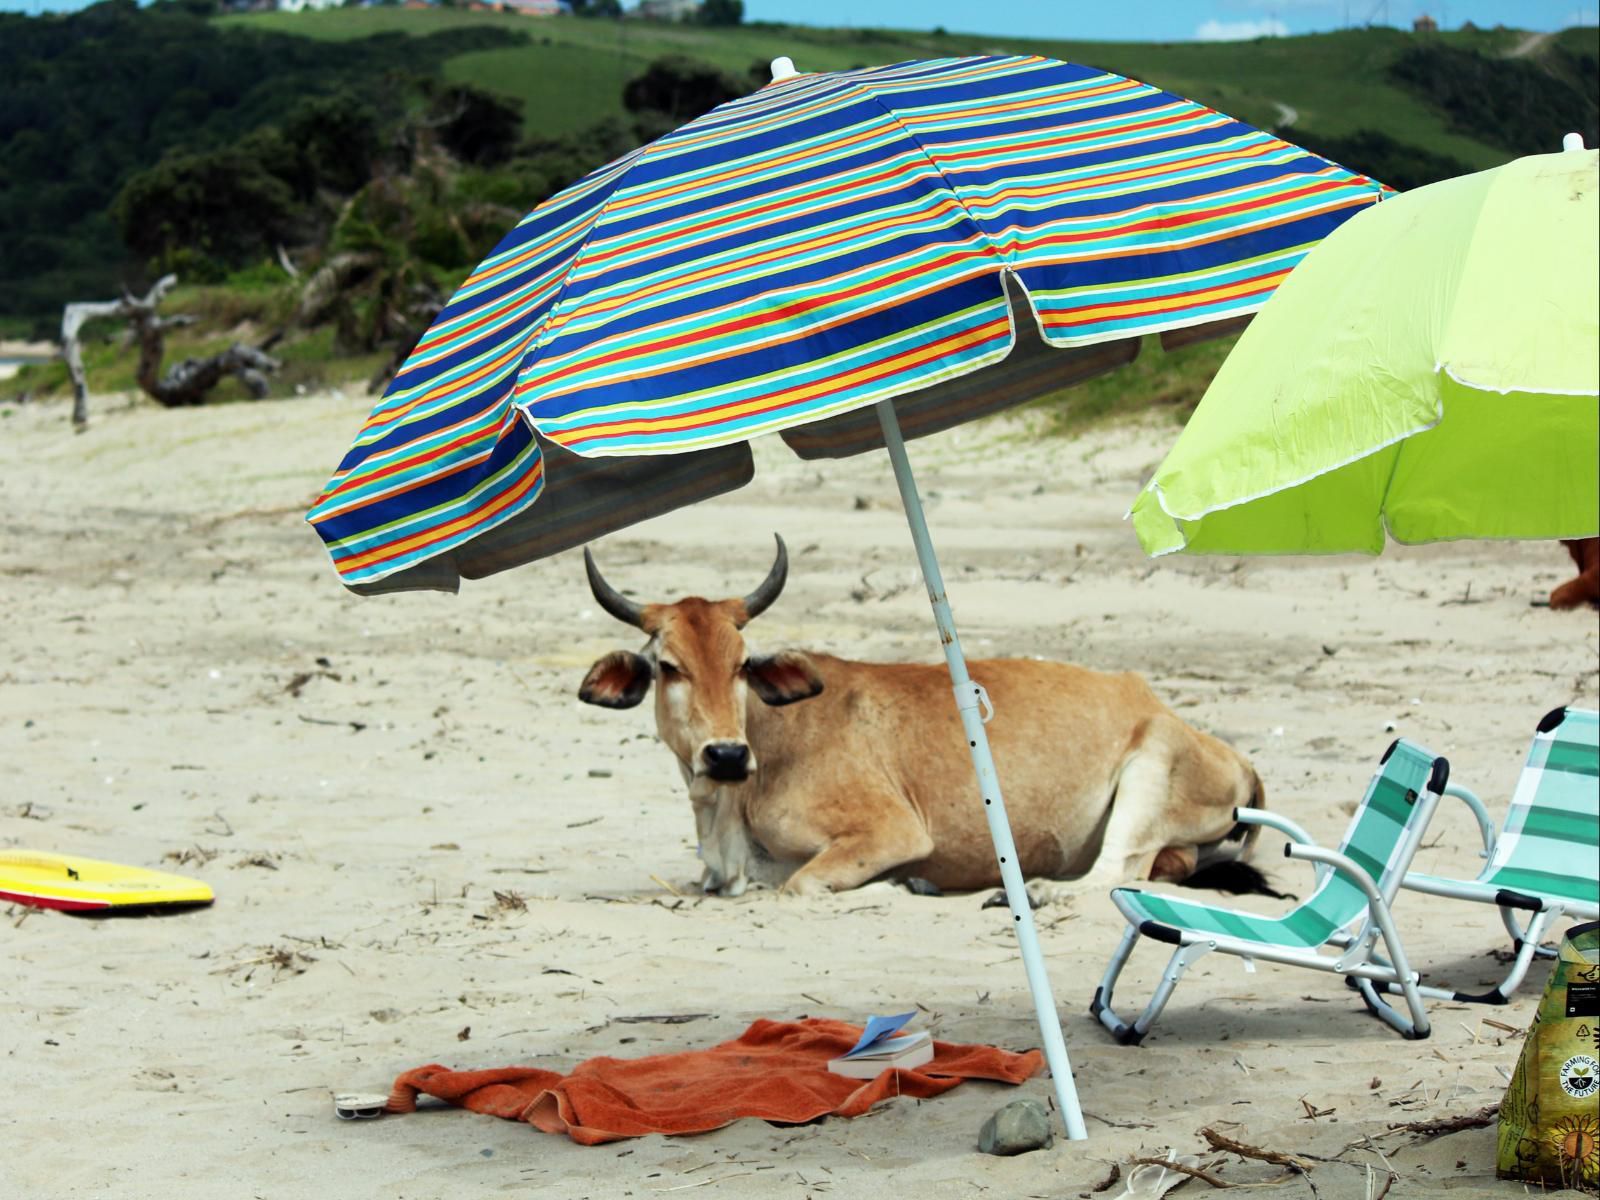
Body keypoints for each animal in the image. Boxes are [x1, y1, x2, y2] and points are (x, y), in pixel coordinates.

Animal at [576, 540, 1260, 908]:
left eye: (743, 663)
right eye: (668, 666)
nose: (724, 755)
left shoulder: (892, 832)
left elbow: (800, 885)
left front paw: (905, 888)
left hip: (1151, 767)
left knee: (1118, 874)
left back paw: (1036, 891)